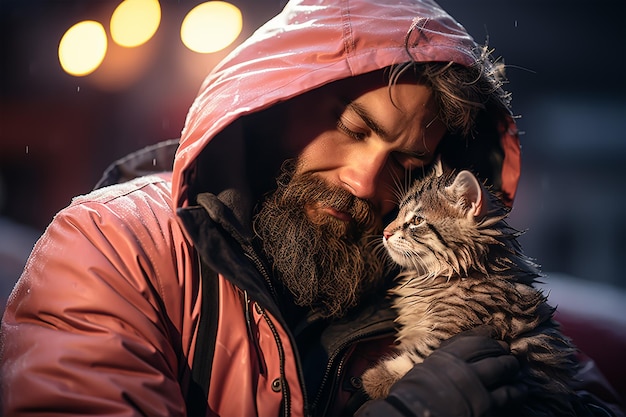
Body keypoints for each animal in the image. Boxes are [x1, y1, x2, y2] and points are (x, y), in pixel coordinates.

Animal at [360, 168, 580, 412]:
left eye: (416, 220)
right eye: (398, 213)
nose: (385, 232)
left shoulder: (460, 326)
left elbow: (420, 355)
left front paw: (375, 378)